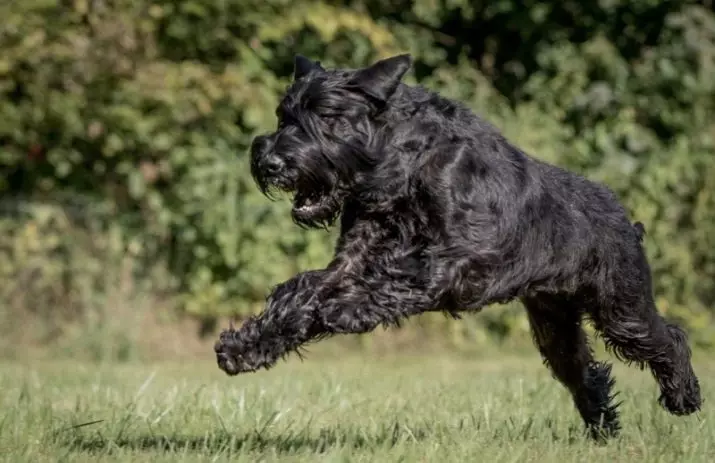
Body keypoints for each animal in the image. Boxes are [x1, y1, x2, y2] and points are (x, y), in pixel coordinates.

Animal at [214, 53, 704, 438]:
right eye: (283, 115)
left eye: (328, 115)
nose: (270, 161)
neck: (401, 165)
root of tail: (627, 220)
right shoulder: (350, 260)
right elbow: (300, 291)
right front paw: (244, 347)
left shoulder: (452, 264)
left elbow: (390, 283)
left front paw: (342, 311)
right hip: (555, 324)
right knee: (585, 372)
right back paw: (603, 428)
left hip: (621, 308)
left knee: (668, 338)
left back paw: (684, 398)